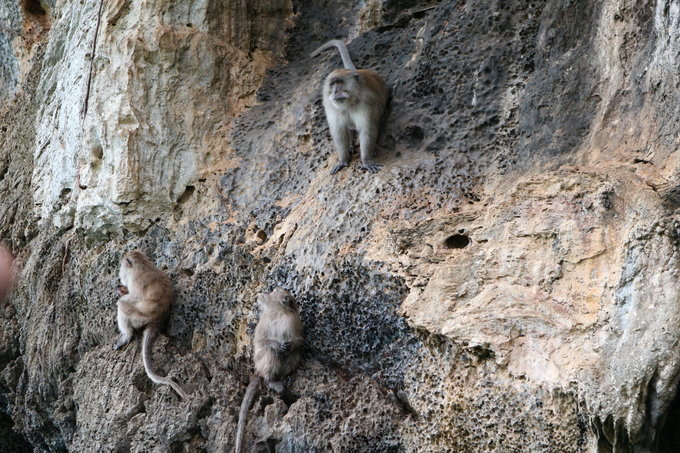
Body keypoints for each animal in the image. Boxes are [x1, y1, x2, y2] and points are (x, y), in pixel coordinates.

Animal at [236, 288, 306, 450]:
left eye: (274, 291)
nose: (265, 292)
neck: (279, 313)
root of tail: (258, 370)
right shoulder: (265, 320)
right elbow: (261, 341)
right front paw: (276, 345)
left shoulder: (292, 320)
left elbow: (298, 341)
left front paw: (289, 346)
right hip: (260, 362)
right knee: (269, 352)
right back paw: (271, 380)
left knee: (294, 354)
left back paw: (285, 376)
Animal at [312, 38, 390, 175]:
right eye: (332, 84)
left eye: (340, 82)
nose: (334, 91)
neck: (348, 104)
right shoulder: (330, 106)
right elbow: (339, 132)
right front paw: (343, 160)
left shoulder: (367, 103)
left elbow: (367, 130)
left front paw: (366, 160)